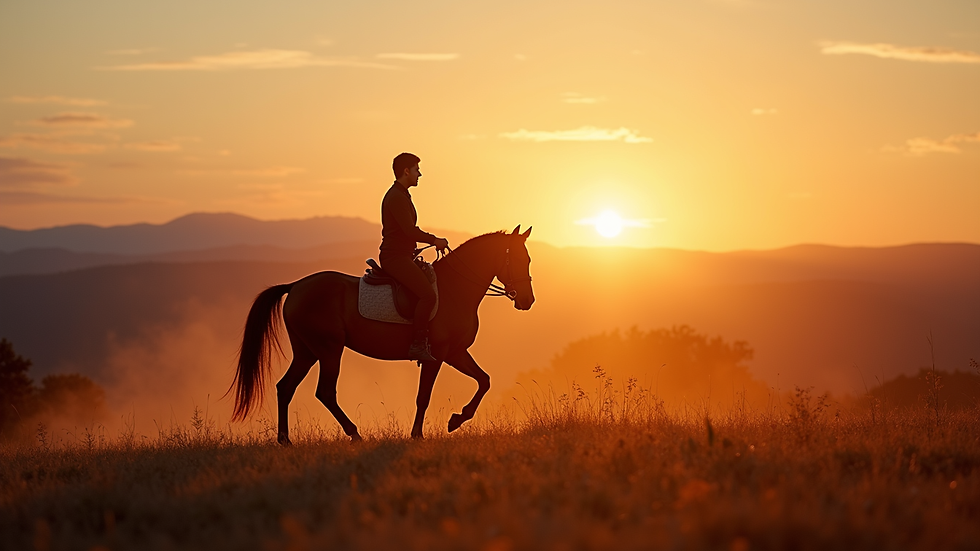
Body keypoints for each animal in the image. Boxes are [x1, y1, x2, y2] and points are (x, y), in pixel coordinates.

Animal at [229, 225, 535, 443]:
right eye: (520, 259)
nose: (527, 300)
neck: (455, 289)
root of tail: (295, 286)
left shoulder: (456, 352)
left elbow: (484, 380)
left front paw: (456, 420)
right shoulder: (437, 356)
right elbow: (424, 396)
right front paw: (418, 435)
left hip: (307, 351)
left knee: (286, 387)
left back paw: (285, 440)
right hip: (329, 349)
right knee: (324, 392)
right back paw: (354, 433)